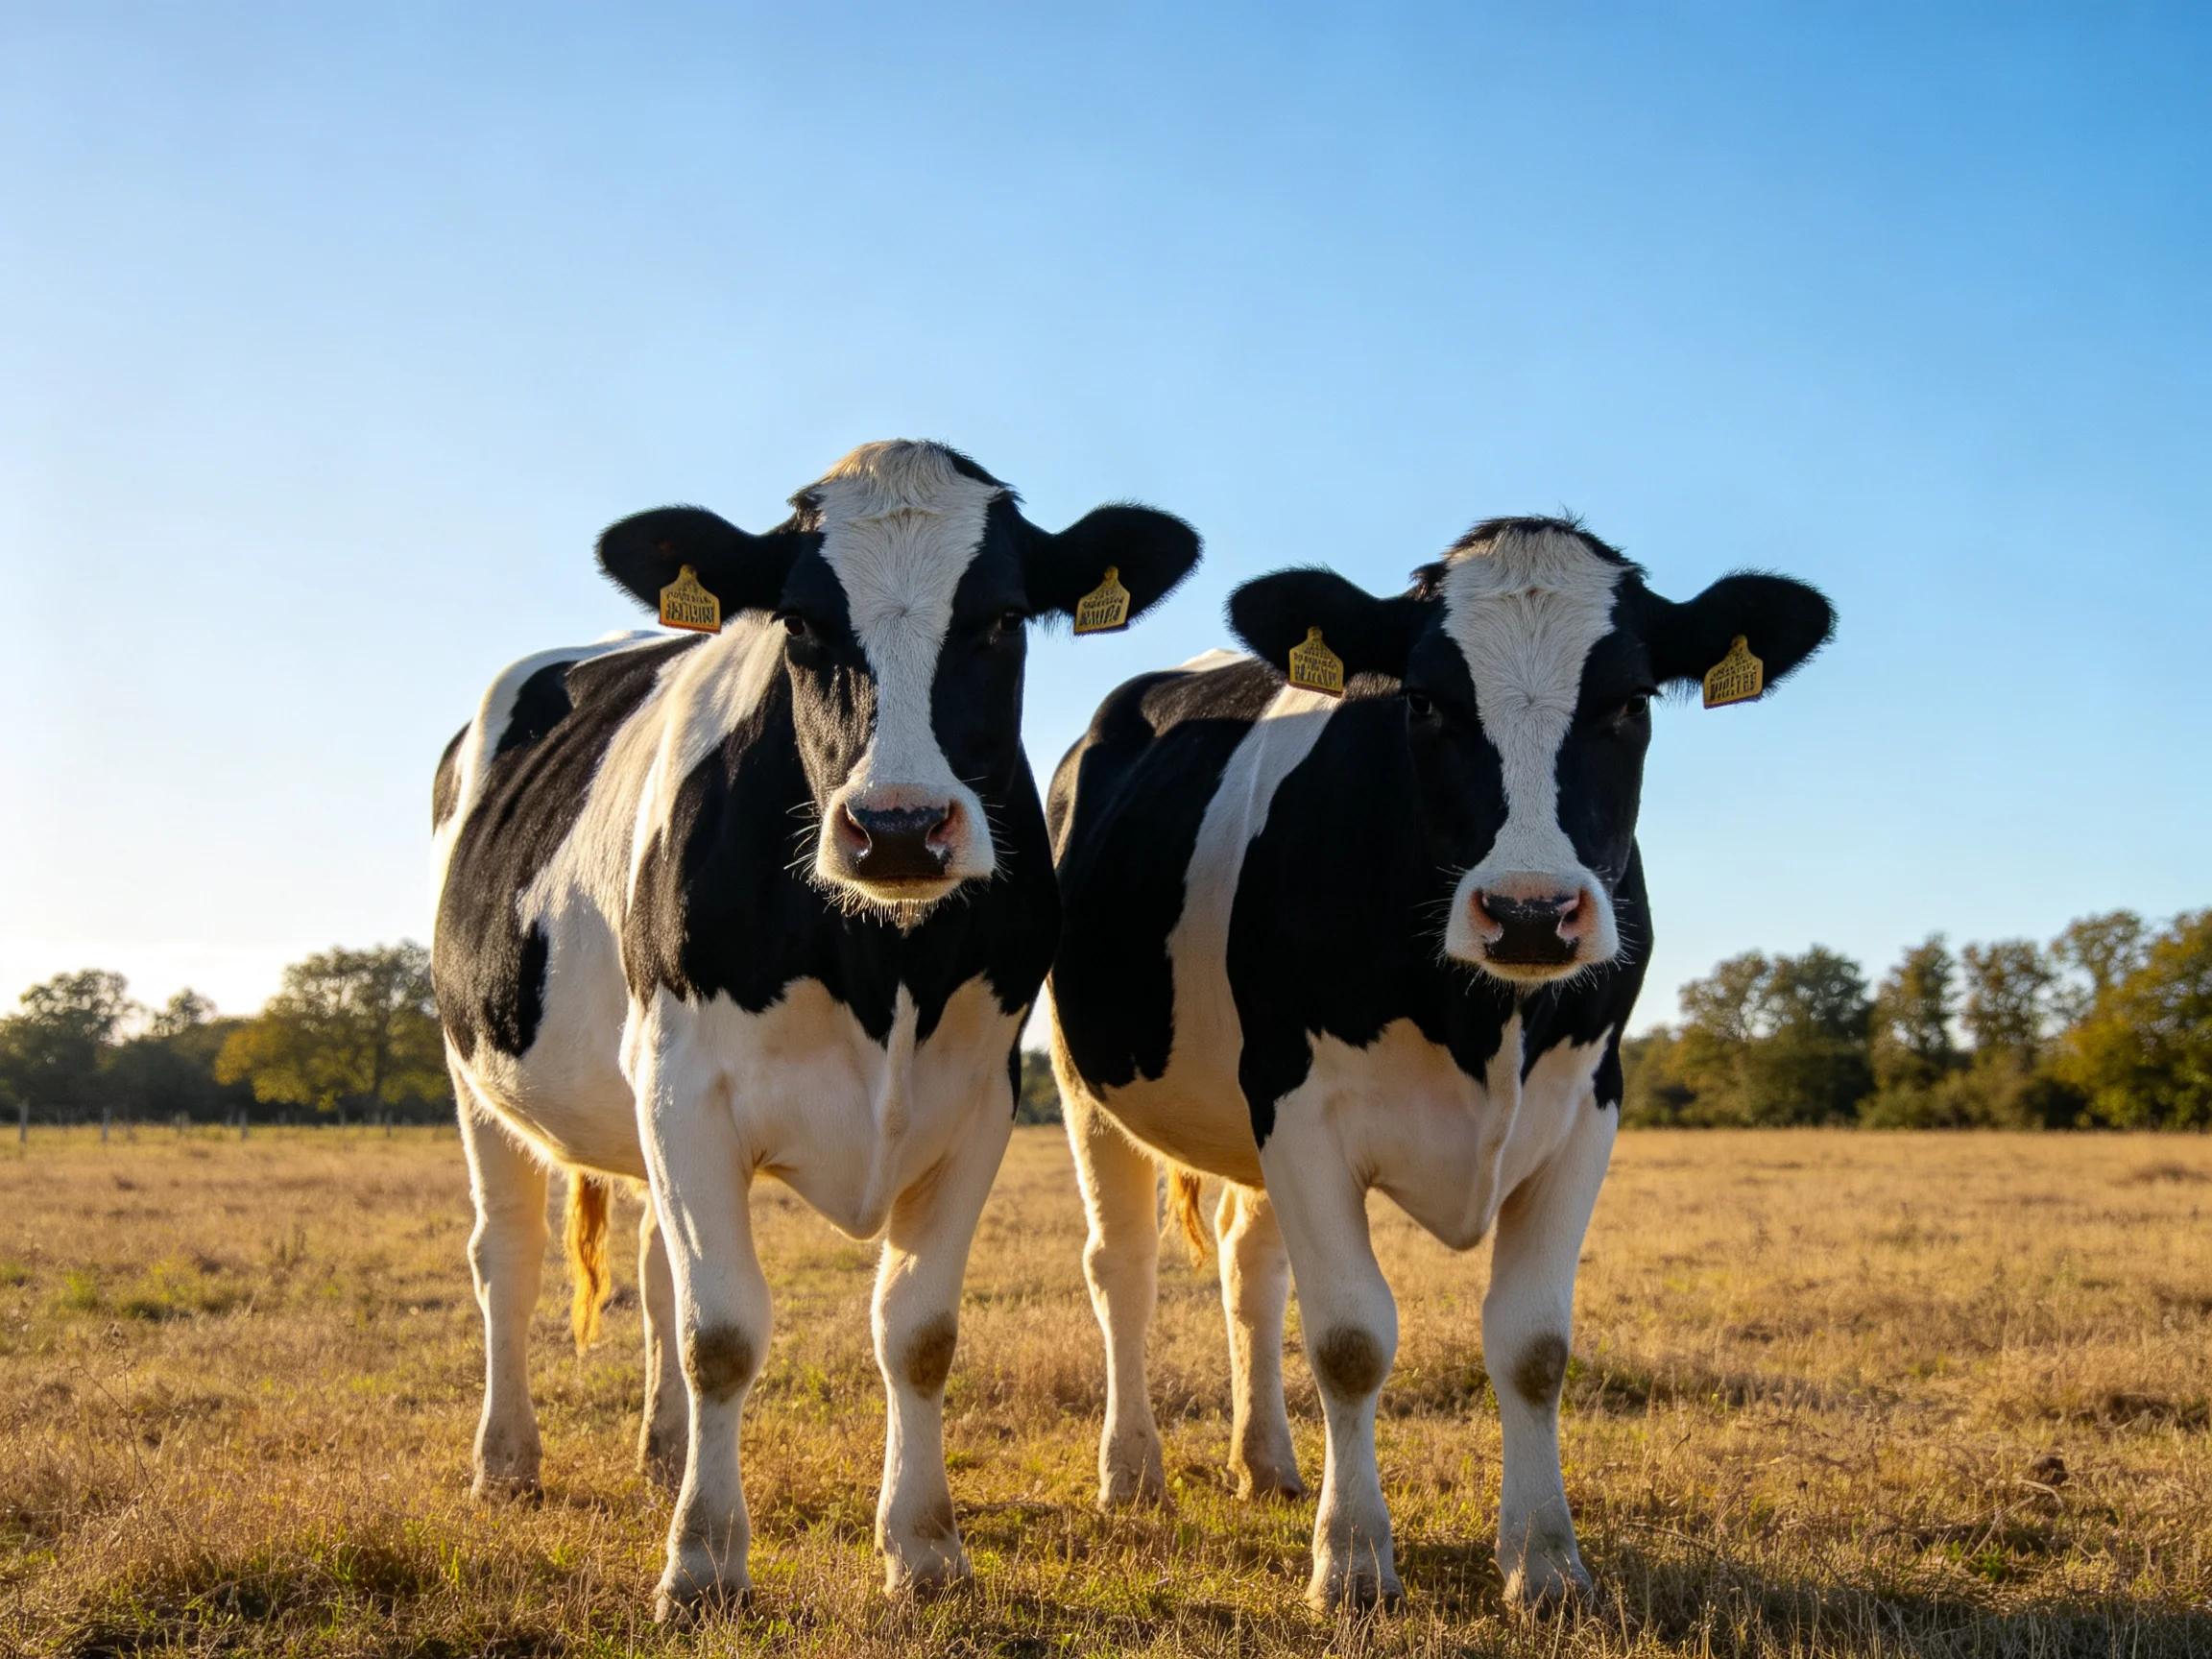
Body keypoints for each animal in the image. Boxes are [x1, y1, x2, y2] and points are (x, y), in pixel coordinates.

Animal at [430, 440, 1200, 1618]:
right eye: (799, 621)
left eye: (1003, 617)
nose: (899, 826)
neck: (882, 965)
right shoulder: (685, 1089)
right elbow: (723, 1333)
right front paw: (703, 1561)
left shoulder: (975, 1102)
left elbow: (917, 1333)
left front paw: (924, 1550)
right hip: (478, 1074)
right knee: (506, 1253)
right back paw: (507, 1460)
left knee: (655, 1261)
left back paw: (662, 1452)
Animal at [1044, 517, 1831, 1612]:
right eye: (1424, 701)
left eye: (1630, 701)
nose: (1533, 912)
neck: (1480, 1019)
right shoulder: (1299, 1104)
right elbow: (1350, 1339)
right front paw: (1353, 1562)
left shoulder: (1588, 1109)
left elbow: (1534, 1345)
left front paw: (1546, 1562)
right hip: (1085, 1078)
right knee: (1120, 1264)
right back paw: (1132, 1473)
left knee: (1252, 1268)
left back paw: (1267, 1463)